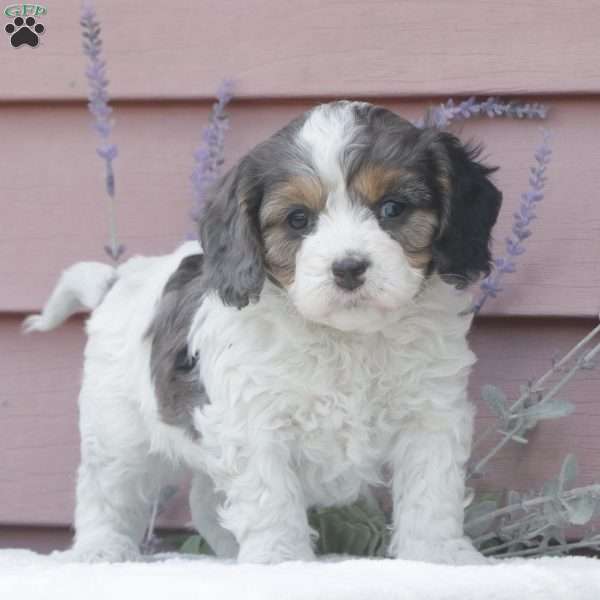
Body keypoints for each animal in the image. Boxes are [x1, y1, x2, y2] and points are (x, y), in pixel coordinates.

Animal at [25, 101, 500, 564]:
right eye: (298, 219)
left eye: (393, 209)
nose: (348, 268)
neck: (346, 338)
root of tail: (117, 279)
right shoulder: (253, 422)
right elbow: (270, 497)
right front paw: (279, 559)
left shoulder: (431, 415)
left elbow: (431, 492)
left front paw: (437, 556)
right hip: (117, 431)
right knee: (105, 491)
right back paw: (99, 549)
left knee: (203, 500)